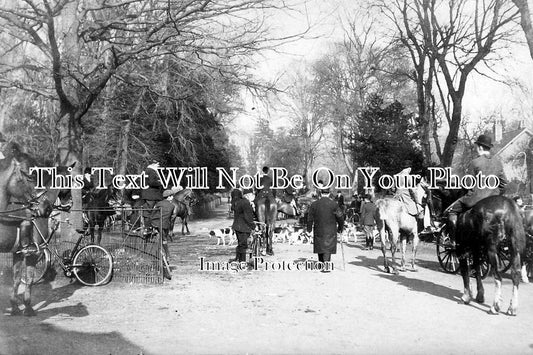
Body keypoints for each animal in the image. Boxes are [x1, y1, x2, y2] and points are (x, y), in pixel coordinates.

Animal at [0, 145, 59, 318]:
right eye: (31, 176)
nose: (46, 208)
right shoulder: (33, 255)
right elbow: (30, 278)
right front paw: (28, 307)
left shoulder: (19, 252)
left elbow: (16, 279)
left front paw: (15, 307)